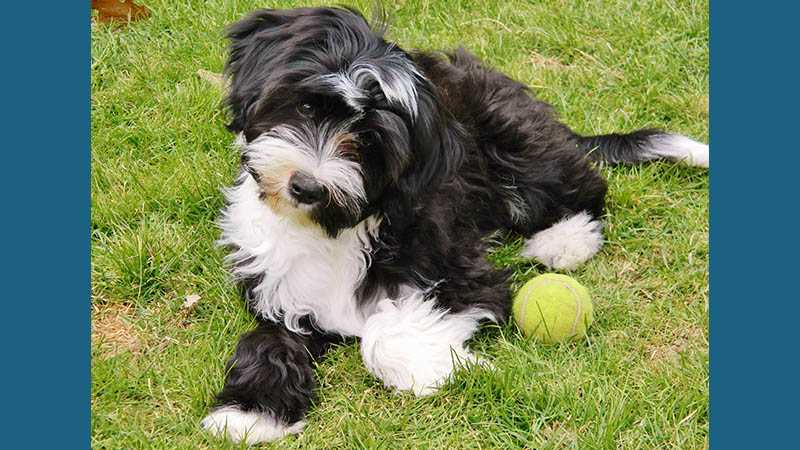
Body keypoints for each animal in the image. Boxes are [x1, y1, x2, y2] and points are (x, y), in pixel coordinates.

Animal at [198, 5, 708, 444]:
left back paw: (565, 240)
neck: (334, 227)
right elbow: (269, 340)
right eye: (306, 108)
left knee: (584, 186)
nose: (306, 187)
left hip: (516, 145)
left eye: (368, 141)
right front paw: (250, 412)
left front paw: (441, 367)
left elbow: (382, 336)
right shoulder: (276, 284)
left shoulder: (463, 273)